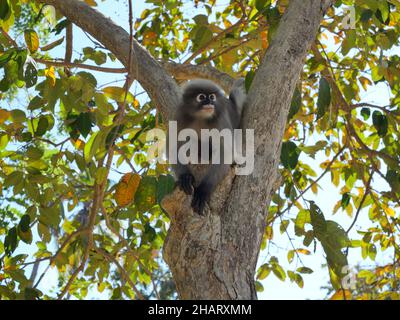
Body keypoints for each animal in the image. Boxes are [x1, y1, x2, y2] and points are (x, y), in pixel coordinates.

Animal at [166, 79, 247, 216]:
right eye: (202, 97)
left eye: (212, 97)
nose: (210, 103)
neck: (201, 118)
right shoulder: (180, 117)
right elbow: (173, 148)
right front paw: (185, 178)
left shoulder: (220, 120)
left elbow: (225, 152)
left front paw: (203, 191)